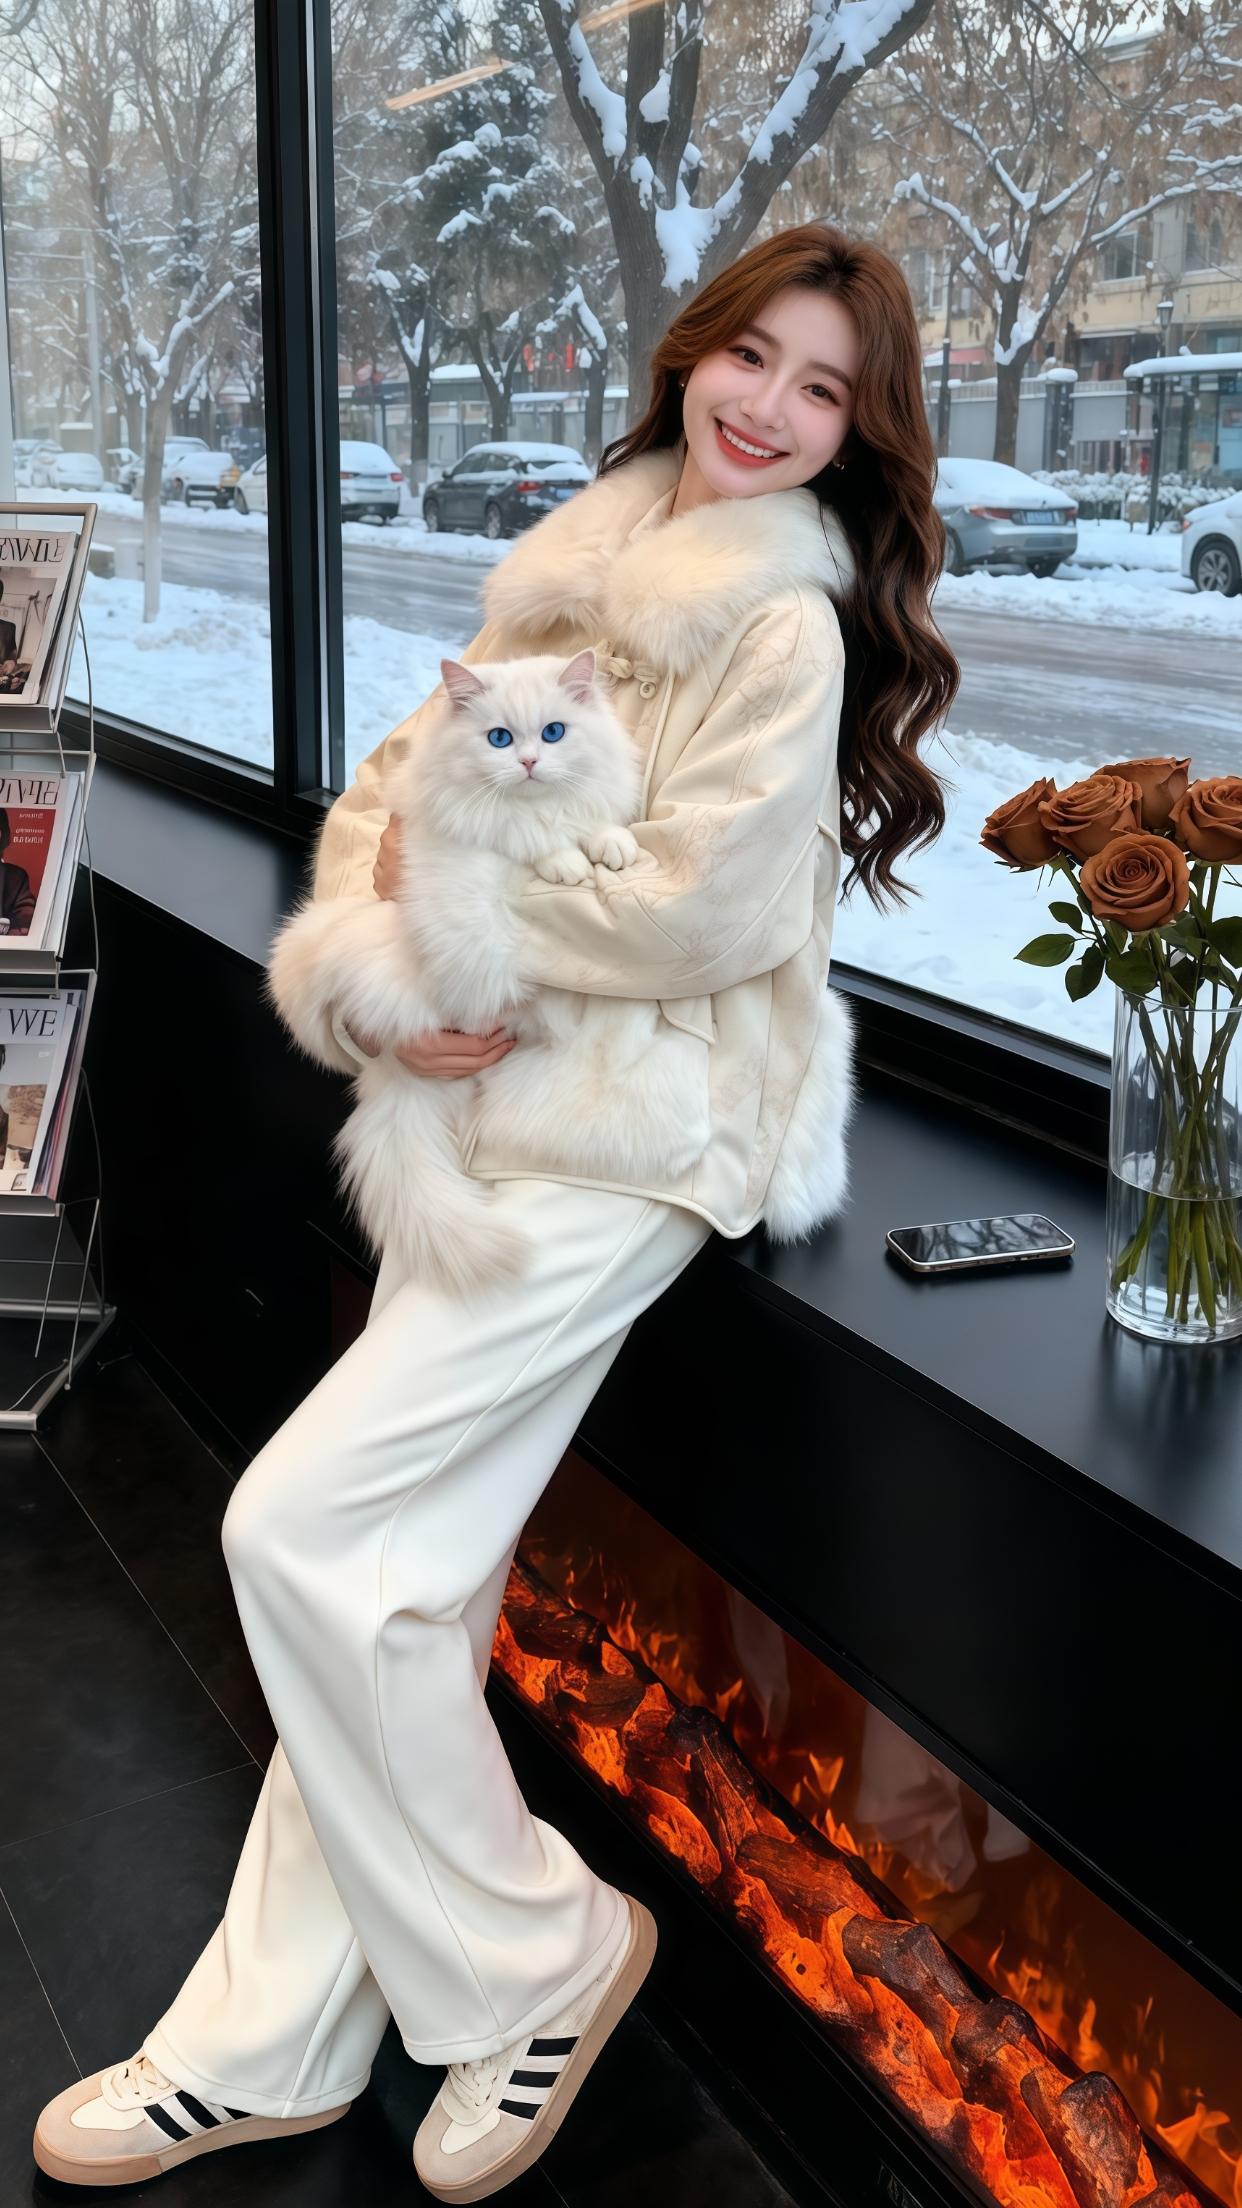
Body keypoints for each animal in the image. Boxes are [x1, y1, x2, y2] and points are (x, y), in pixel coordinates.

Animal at [265, 648, 712, 1299]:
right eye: (499, 739)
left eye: (553, 733)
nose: (527, 763)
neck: (539, 805)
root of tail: (393, 1072)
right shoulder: (488, 834)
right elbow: (534, 843)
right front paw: (567, 862)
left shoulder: (588, 797)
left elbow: (597, 823)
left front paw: (610, 847)